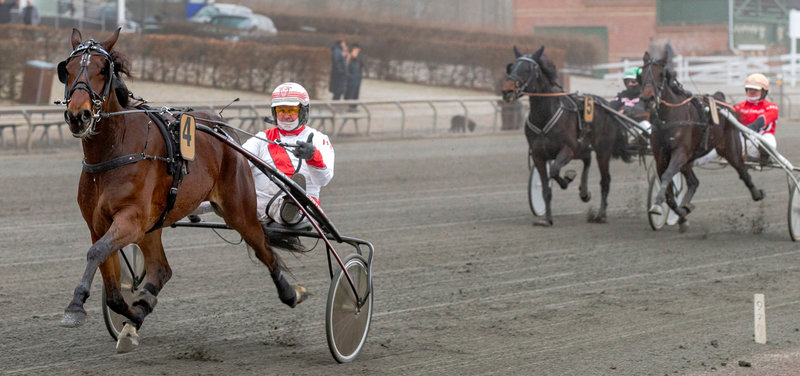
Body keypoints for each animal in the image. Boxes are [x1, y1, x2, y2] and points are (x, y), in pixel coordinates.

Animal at [57, 29, 308, 352]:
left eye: (103, 69)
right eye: (67, 69)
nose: (79, 116)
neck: (115, 150)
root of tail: (222, 126)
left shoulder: (130, 219)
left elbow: (96, 252)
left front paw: (76, 306)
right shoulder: (99, 223)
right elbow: (110, 285)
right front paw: (133, 313)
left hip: (238, 210)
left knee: (264, 248)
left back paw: (292, 293)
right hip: (153, 225)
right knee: (161, 269)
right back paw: (139, 311)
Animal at [504, 45, 636, 225]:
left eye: (527, 69)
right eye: (511, 67)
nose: (507, 91)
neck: (544, 116)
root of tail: (607, 106)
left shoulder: (567, 149)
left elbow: (554, 171)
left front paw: (567, 179)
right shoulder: (538, 155)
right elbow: (545, 187)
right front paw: (547, 219)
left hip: (602, 150)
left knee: (605, 181)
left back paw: (600, 214)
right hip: (582, 147)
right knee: (587, 159)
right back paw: (584, 193)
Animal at [640, 49, 764, 229]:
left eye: (661, 74)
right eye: (641, 74)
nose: (647, 98)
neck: (667, 119)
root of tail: (721, 102)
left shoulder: (680, 152)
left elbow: (667, 176)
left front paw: (657, 205)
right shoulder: (661, 157)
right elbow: (668, 189)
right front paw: (677, 212)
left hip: (729, 149)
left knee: (742, 170)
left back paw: (757, 193)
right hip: (688, 159)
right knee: (694, 182)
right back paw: (684, 208)